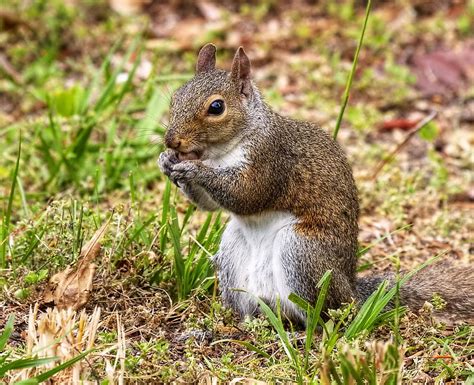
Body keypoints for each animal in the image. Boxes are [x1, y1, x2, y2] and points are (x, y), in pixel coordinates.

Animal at [159, 43, 474, 322]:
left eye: (216, 107)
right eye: (175, 97)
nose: (172, 141)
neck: (221, 152)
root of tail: (353, 295)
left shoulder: (271, 161)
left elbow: (246, 195)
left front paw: (193, 168)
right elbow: (210, 205)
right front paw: (166, 161)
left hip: (302, 250)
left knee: (323, 316)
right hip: (234, 252)